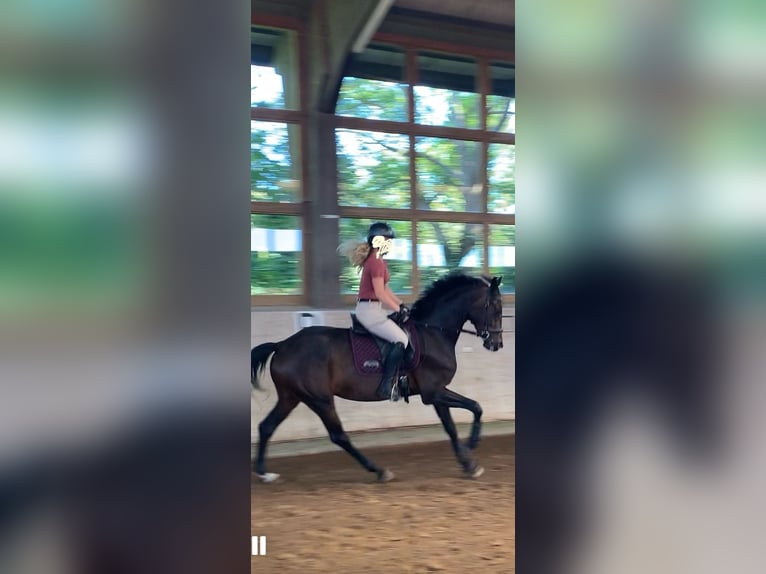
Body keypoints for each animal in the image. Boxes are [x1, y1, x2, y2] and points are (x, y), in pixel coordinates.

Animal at [250, 272, 505, 483]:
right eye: (495, 307)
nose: (497, 344)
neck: (432, 332)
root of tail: (282, 345)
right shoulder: (434, 392)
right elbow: (476, 406)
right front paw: (472, 445)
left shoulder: (435, 394)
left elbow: (452, 427)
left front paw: (468, 464)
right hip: (319, 399)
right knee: (338, 436)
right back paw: (379, 471)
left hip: (291, 397)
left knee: (267, 426)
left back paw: (264, 473)